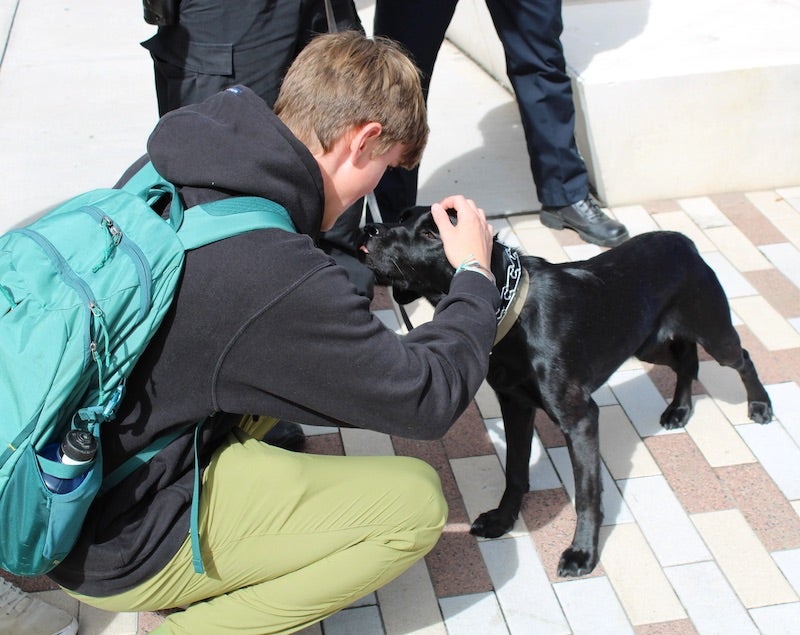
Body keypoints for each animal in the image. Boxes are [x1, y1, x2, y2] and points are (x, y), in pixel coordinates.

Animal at [360, 207, 772, 576]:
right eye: (401, 216)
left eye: (433, 233)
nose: (369, 229)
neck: (514, 312)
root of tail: (683, 241)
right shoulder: (515, 404)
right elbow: (515, 471)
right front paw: (502, 520)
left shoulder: (580, 419)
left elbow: (587, 496)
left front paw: (582, 554)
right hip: (646, 341)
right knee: (686, 360)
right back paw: (679, 410)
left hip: (714, 333)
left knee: (743, 358)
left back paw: (759, 405)